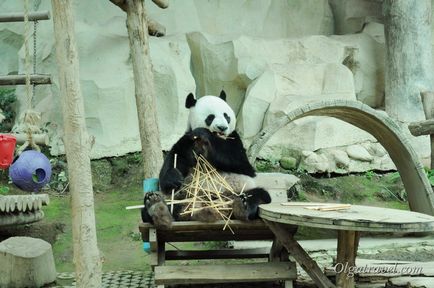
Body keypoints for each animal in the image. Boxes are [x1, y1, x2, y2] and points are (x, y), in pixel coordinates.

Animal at [142, 91, 272, 228]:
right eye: (210, 117)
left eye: (226, 116)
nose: (222, 128)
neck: (200, 142)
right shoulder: (187, 140)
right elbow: (173, 159)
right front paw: (173, 179)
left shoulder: (234, 140)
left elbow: (241, 163)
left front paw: (205, 134)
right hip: (183, 197)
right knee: (160, 207)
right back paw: (157, 207)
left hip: (239, 190)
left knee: (259, 195)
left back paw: (243, 206)